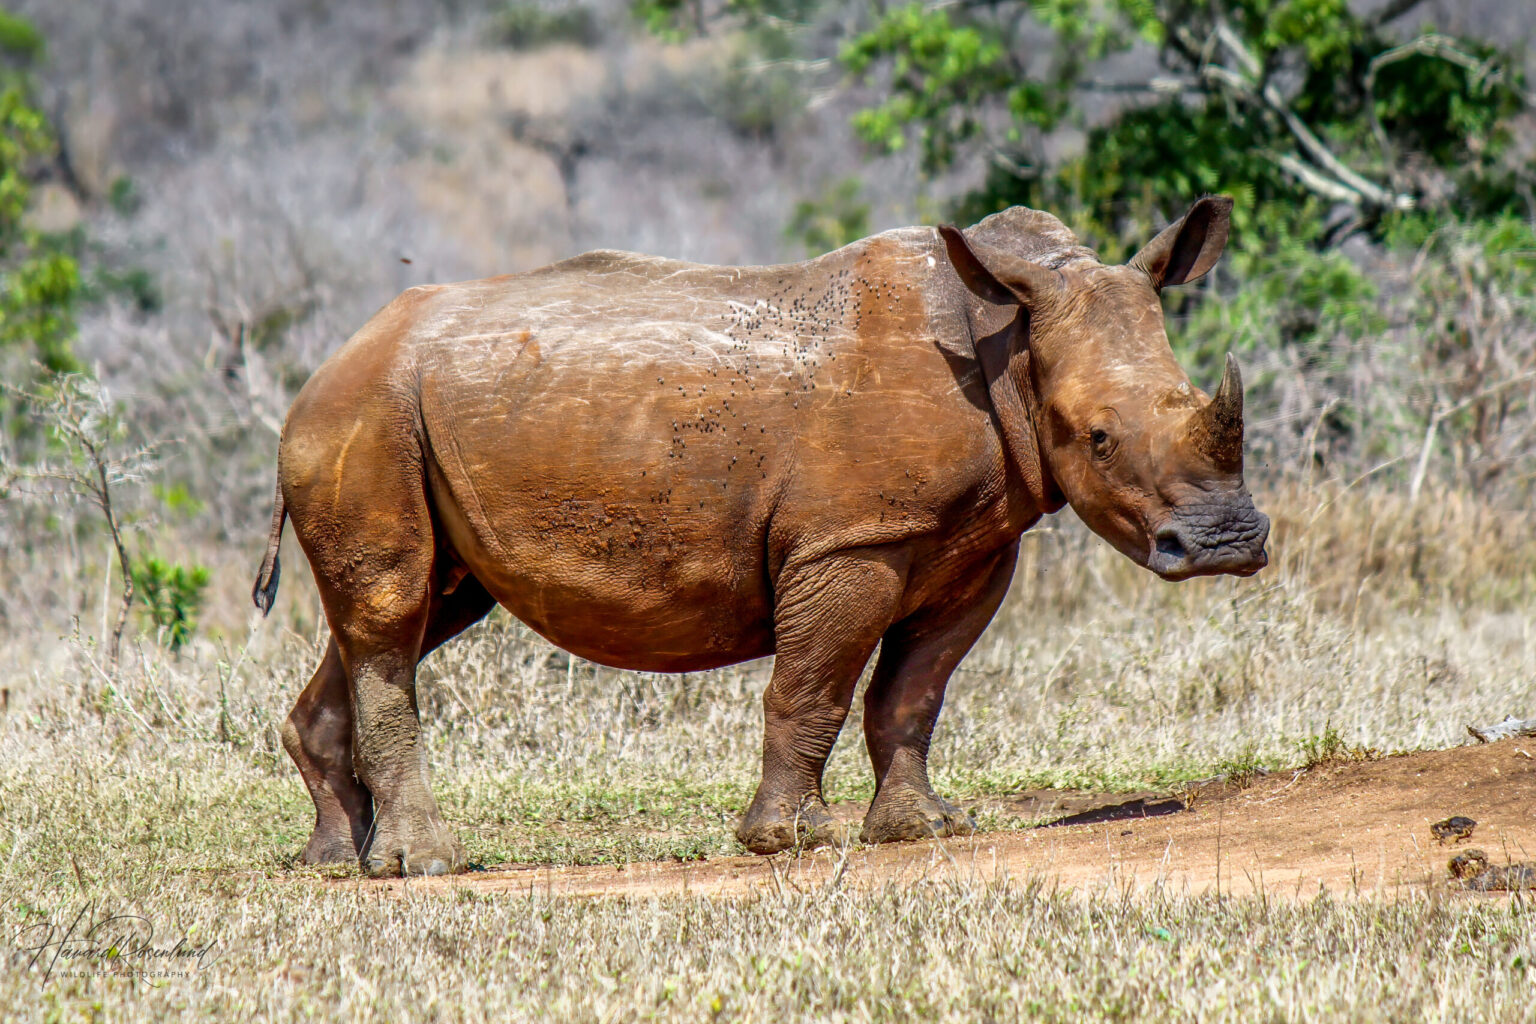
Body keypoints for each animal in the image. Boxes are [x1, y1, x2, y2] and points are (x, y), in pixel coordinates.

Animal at [253, 196, 1268, 876]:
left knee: (415, 610)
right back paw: (424, 864)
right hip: (366, 418)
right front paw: (791, 841)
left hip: (394, 416)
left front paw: (924, 829)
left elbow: (914, 691)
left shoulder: (975, 546)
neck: (1005, 340)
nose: (1225, 545)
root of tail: (321, 372)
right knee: (392, 612)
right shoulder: (849, 542)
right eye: (1096, 438)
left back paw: (335, 864)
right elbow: (812, 687)